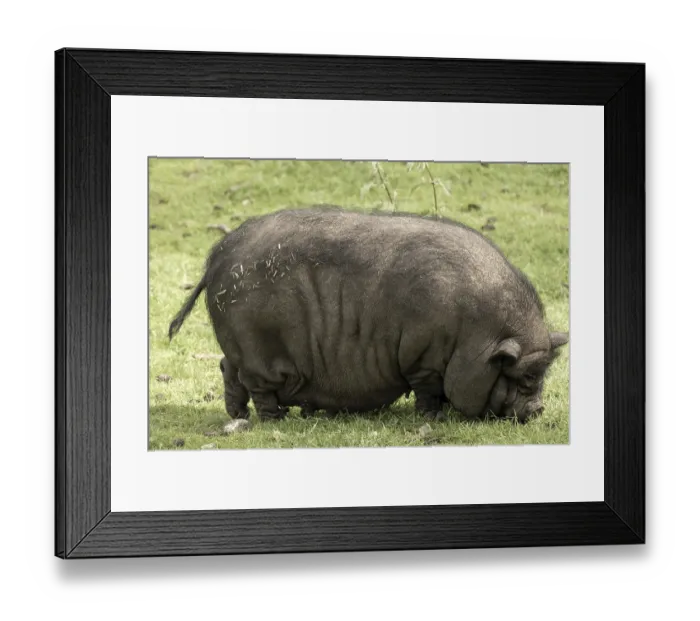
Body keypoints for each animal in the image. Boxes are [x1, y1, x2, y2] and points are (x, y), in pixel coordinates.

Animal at [169, 206, 568, 423]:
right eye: (525, 376)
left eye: (542, 372)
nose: (538, 409)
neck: (475, 335)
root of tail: (217, 257)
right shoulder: (423, 357)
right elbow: (428, 391)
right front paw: (433, 417)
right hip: (258, 350)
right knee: (257, 385)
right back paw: (273, 419)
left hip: (239, 348)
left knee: (227, 368)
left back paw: (239, 417)